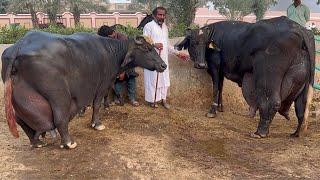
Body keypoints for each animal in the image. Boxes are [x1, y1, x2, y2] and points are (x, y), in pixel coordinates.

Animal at [178, 16, 316, 138]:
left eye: (205, 44)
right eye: (193, 43)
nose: (201, 64)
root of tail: (299, 28)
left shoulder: (215, 67)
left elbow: (216, 87)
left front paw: (212, 111)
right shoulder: (221, 70)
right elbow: (221, 87)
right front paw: (221, 107)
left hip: (267, 77)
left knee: (271, 101)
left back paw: (259, 132)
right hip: (304, 82)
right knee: (302, 106)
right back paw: (296, 133)